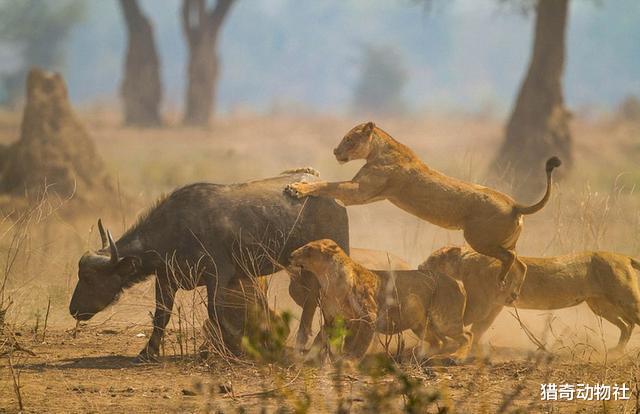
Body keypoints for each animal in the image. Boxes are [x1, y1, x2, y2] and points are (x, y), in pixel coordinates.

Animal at [69, 170, 350, 360]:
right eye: (81, 274)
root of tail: (335, 199)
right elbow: (161, 315)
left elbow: (216, 313)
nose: (73, 309)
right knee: (312, 300)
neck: (175, 230)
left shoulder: (218, 275)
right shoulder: (166, 279)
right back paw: (306, 343)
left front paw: (226, 348)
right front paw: (147, 351)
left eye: (90, 278)